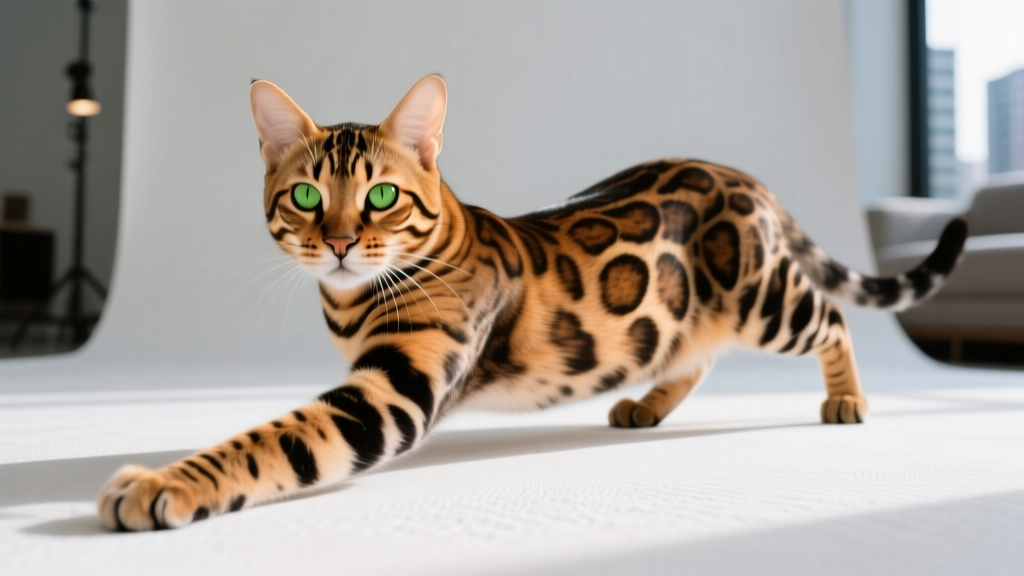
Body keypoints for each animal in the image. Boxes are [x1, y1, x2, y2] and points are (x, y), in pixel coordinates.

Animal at [97, 75, 967, 530]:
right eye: (307, 196)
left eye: (381, 196)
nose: (340, 243)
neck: (351, 299)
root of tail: (739, 173)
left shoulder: (393, 390)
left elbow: (273, 440)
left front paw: (164, 483)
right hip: (684, 308)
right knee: (691, 350)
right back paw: (645, 407)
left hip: (761, 296)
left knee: (833, 316)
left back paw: (848, 399)